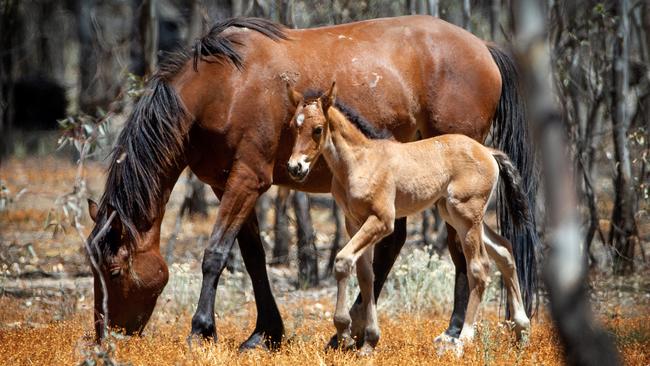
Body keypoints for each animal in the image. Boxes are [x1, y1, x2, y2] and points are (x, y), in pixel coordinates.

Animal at [286, 83, 528, 354]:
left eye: (318, 129)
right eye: (293, 126)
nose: (295, 167)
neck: (360, 161)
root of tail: (487, 150)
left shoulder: (382, 221)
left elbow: (342, 261)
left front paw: (344, 332)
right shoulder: (354, 223)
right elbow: (366, 275)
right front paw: (369, 341)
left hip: (467, 215)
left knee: (479, 266)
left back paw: (463, 338)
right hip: (455, 214)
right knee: (505, 251)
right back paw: (522, 329)